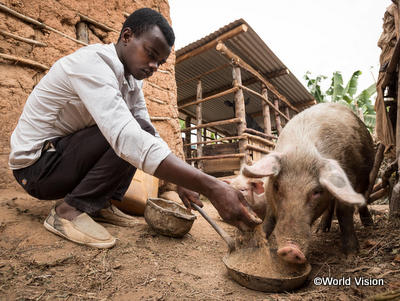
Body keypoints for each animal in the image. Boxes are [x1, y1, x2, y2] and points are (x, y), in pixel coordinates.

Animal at [241, 102, 376, 264]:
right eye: (277, 186)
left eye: (316, 192)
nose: (290, 250)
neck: (301, 149)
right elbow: (269, 217)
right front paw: (254, 247)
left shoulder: (349, 174)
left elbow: (343, 212)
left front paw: (350, 256)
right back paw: (321, 230)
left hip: (365, 174)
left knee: (362, 197)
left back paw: (369, 225)